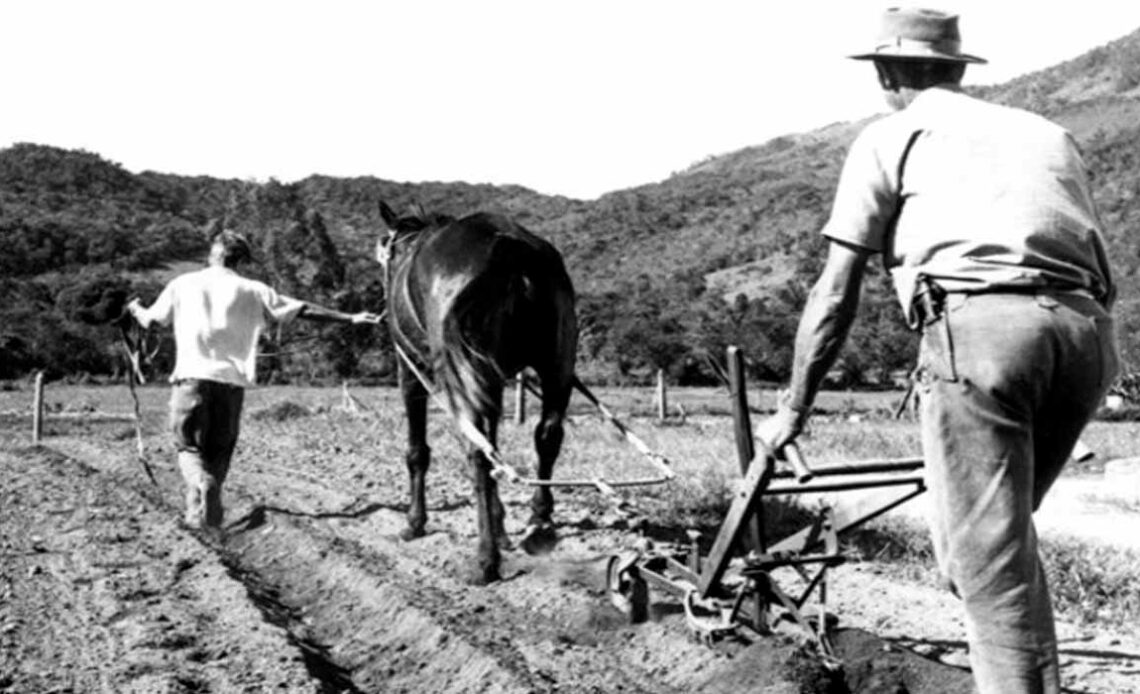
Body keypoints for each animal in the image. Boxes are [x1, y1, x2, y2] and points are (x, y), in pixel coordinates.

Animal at [378, 201, 579, 583]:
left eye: (387, 252)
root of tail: (511, 247)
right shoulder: (492, 379)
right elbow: (496, 442)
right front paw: (501, 527)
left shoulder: (409, 368)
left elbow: (417, 451)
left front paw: (414, 523)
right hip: (556, 365)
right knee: (546, 436)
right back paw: (540, 521)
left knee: (476, 451)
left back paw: (486, 559)